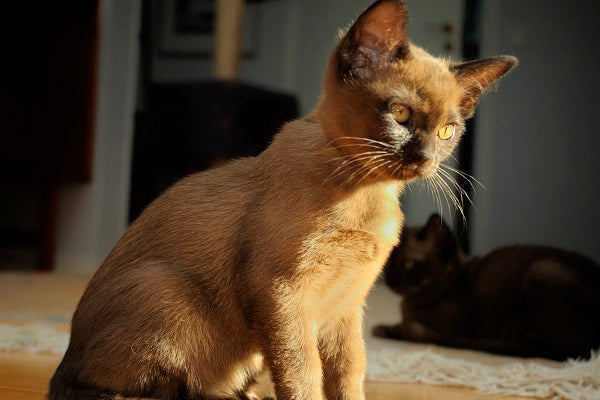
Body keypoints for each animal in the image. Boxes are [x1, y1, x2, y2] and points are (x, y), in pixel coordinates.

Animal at [49, 1, 512, 398]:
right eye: (399, 114)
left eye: (448, 131)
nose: (425, 158)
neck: (367, 193)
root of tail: (64, 362)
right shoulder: (284, 294)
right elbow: (302, 372)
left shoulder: (346, 308)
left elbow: (349, 372)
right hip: (168, 293)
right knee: (132, 389)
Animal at [376, 214, 600, 360]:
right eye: (388, 262)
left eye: (408, 264)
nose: (389, 278)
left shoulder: (451, 329)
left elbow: (414, 329)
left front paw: (388, 329)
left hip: (541, 269)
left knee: (558, 350)